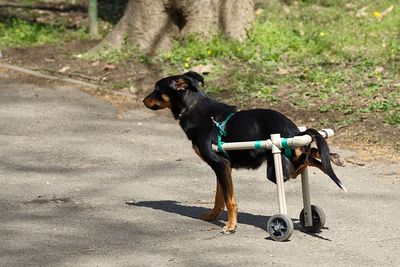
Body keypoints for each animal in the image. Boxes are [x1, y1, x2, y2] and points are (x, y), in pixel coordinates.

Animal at [142, 71, 346, 234]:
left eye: (156, 89)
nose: (143, 100)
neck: (194, 108)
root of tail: (294, 131)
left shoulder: (220, 164)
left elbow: (229, 200)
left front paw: (231, 226)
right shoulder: (223, 168)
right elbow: (219, 197)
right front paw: (213, 216)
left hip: (276, 170)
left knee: (304, 162)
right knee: (310, 155)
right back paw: (334, 158)